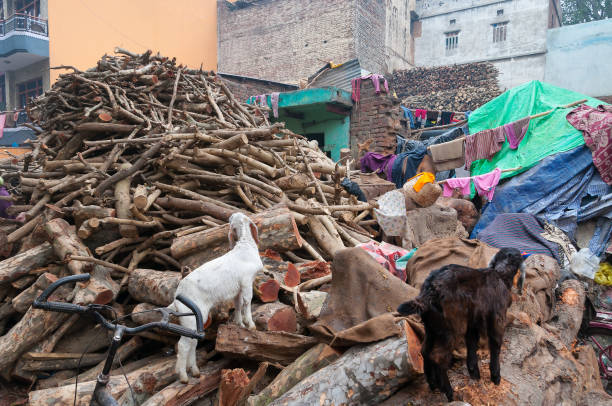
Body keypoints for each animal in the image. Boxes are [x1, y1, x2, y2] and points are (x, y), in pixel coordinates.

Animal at [169, 213, 262, 384]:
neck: (245, 245)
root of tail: (176, 298)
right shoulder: (246, 282)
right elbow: (247, 302)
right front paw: (251, 325)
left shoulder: (238, 289)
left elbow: (238, 304)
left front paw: (240, 325)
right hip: (189, 318)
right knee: (183, 345)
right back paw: (184, 377)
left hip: (196, 317)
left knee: (192, 342)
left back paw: (195, 371)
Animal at [396, 247, 524, 400]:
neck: (500, 274)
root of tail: (429, 292)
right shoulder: (497, 318)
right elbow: (495, 344)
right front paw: (496, 377)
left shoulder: (473, 322)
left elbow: (472, 344)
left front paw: (474, 373)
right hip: (453, 327)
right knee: (438, 357)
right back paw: (450, 393)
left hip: (432, 327)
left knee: (425, 351)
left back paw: (433, 385)